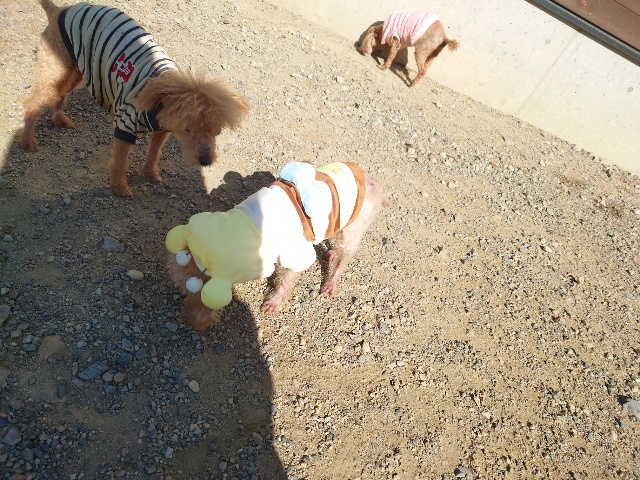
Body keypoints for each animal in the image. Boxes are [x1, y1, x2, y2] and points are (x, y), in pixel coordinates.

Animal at [20, 0, 249, 197]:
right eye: (187, 129)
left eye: (217, 132)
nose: (206, 161)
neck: (162, 94)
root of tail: (60, 10)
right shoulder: (125, 127)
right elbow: (120, 162)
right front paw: (120, 188)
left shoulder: (162, 130)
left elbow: (154, 153)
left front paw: (150, 174)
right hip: (56, 70)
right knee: (33, 104)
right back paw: (28, 140)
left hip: (75, 70)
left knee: (61, 94)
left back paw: (60, 119)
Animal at [166, 161, 385, 330]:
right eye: (185, 290)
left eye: (202, 293)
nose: (195, 324)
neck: (252, 224)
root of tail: (370, 179)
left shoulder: (294, 253)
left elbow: (286, 280)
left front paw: (273, 303)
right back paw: (330, 254)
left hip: (355, 227)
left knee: (345, 256)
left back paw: (331, 282)